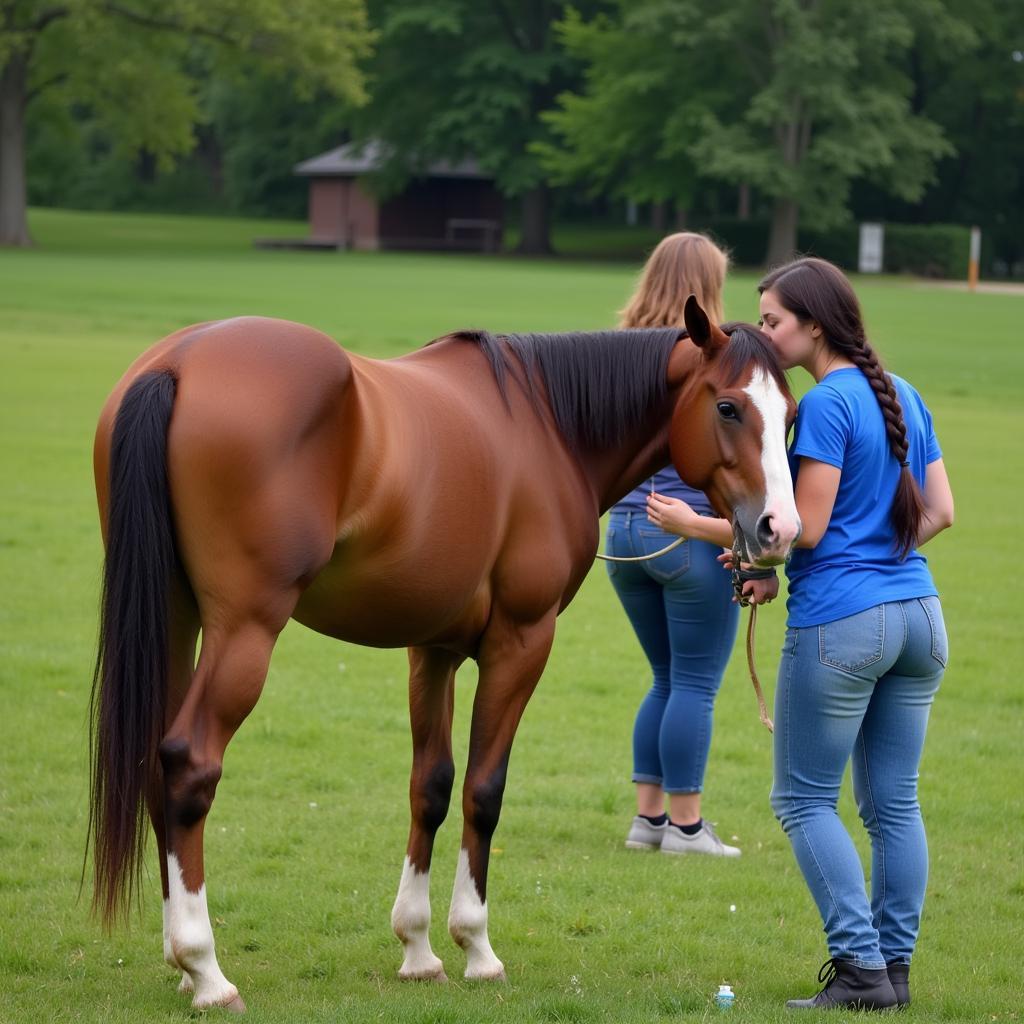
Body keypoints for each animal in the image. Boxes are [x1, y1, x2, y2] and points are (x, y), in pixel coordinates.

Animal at [90, 296, 798, 1007]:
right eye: (728, 407)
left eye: (791, 414)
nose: (780, 530)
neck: (549, 424)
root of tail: (178, 364)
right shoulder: (521, 641)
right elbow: (485, 789)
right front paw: (477, 947)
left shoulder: (432, 648)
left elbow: (428, 786)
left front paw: (418, 949)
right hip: (245, 630)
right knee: (189, 763)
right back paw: (205, 968)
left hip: (175, 617)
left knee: (156, 761)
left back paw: (181, 965)